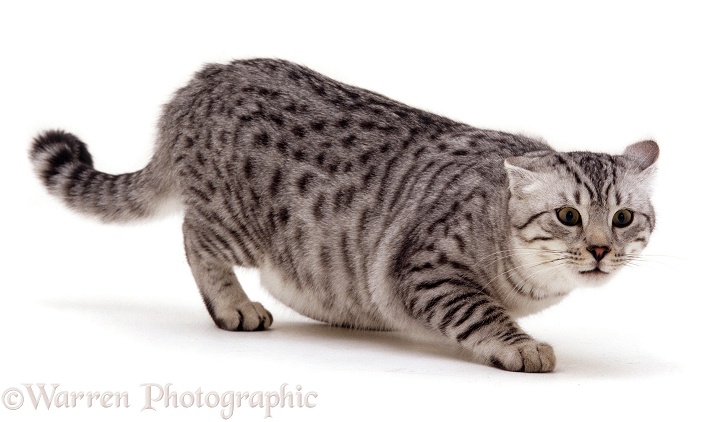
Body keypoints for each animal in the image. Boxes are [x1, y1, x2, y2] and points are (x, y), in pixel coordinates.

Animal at [28, 58, 656, 372]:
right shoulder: (426, 268)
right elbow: (480, 313)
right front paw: (520, 344)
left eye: (623, 218)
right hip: (234, 221)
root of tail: (199, 84)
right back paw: (233, 306)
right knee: (192, 236)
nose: (601, 249)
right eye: (568, 216)